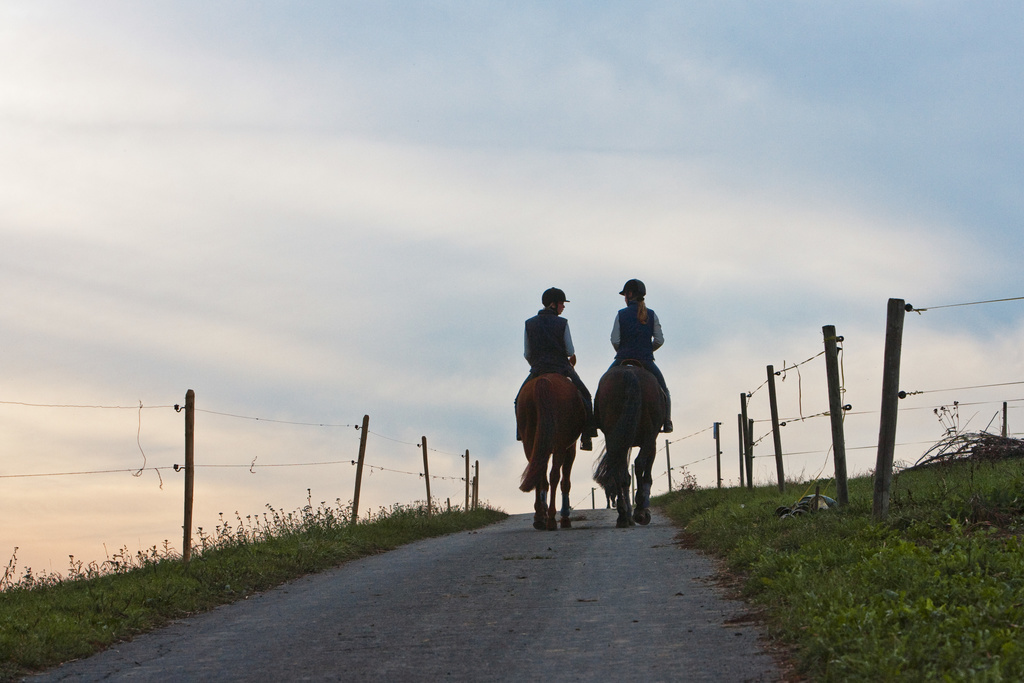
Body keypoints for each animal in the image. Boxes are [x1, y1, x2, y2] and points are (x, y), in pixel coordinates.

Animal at [516, 374, 589, 528]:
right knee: (555, 475)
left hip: (530, 442)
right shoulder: (570, 449)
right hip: (560, 446)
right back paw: (551, 519)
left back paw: (539, 517)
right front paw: (565, 516)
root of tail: (543, 381)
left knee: (538, 473)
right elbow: (565, 481)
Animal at [589, 362, 667, 528]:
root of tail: (629, 372)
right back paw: (640, 510)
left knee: (618, 470)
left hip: (613, 436)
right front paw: (642, 509)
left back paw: (623, 516)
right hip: (649, 436)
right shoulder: (652, 442)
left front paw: (628, 513)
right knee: (639, 463)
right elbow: (647, 474)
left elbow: (626, 476)